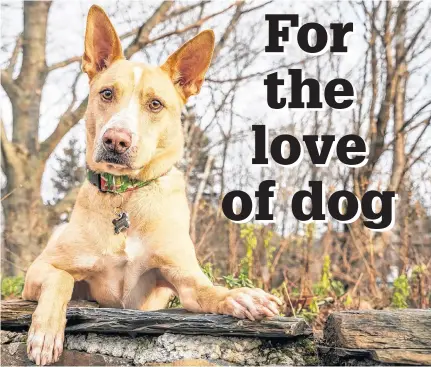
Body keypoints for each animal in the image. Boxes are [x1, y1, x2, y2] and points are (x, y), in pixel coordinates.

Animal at [22, 5, 282, 366]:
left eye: (155, 104)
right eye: (107, 93)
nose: (116, 140)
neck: (126, 196)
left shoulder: (182, 279)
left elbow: (208, 290)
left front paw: (240, 296)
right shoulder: (40, 268)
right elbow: (60, 278)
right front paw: (45, 333)